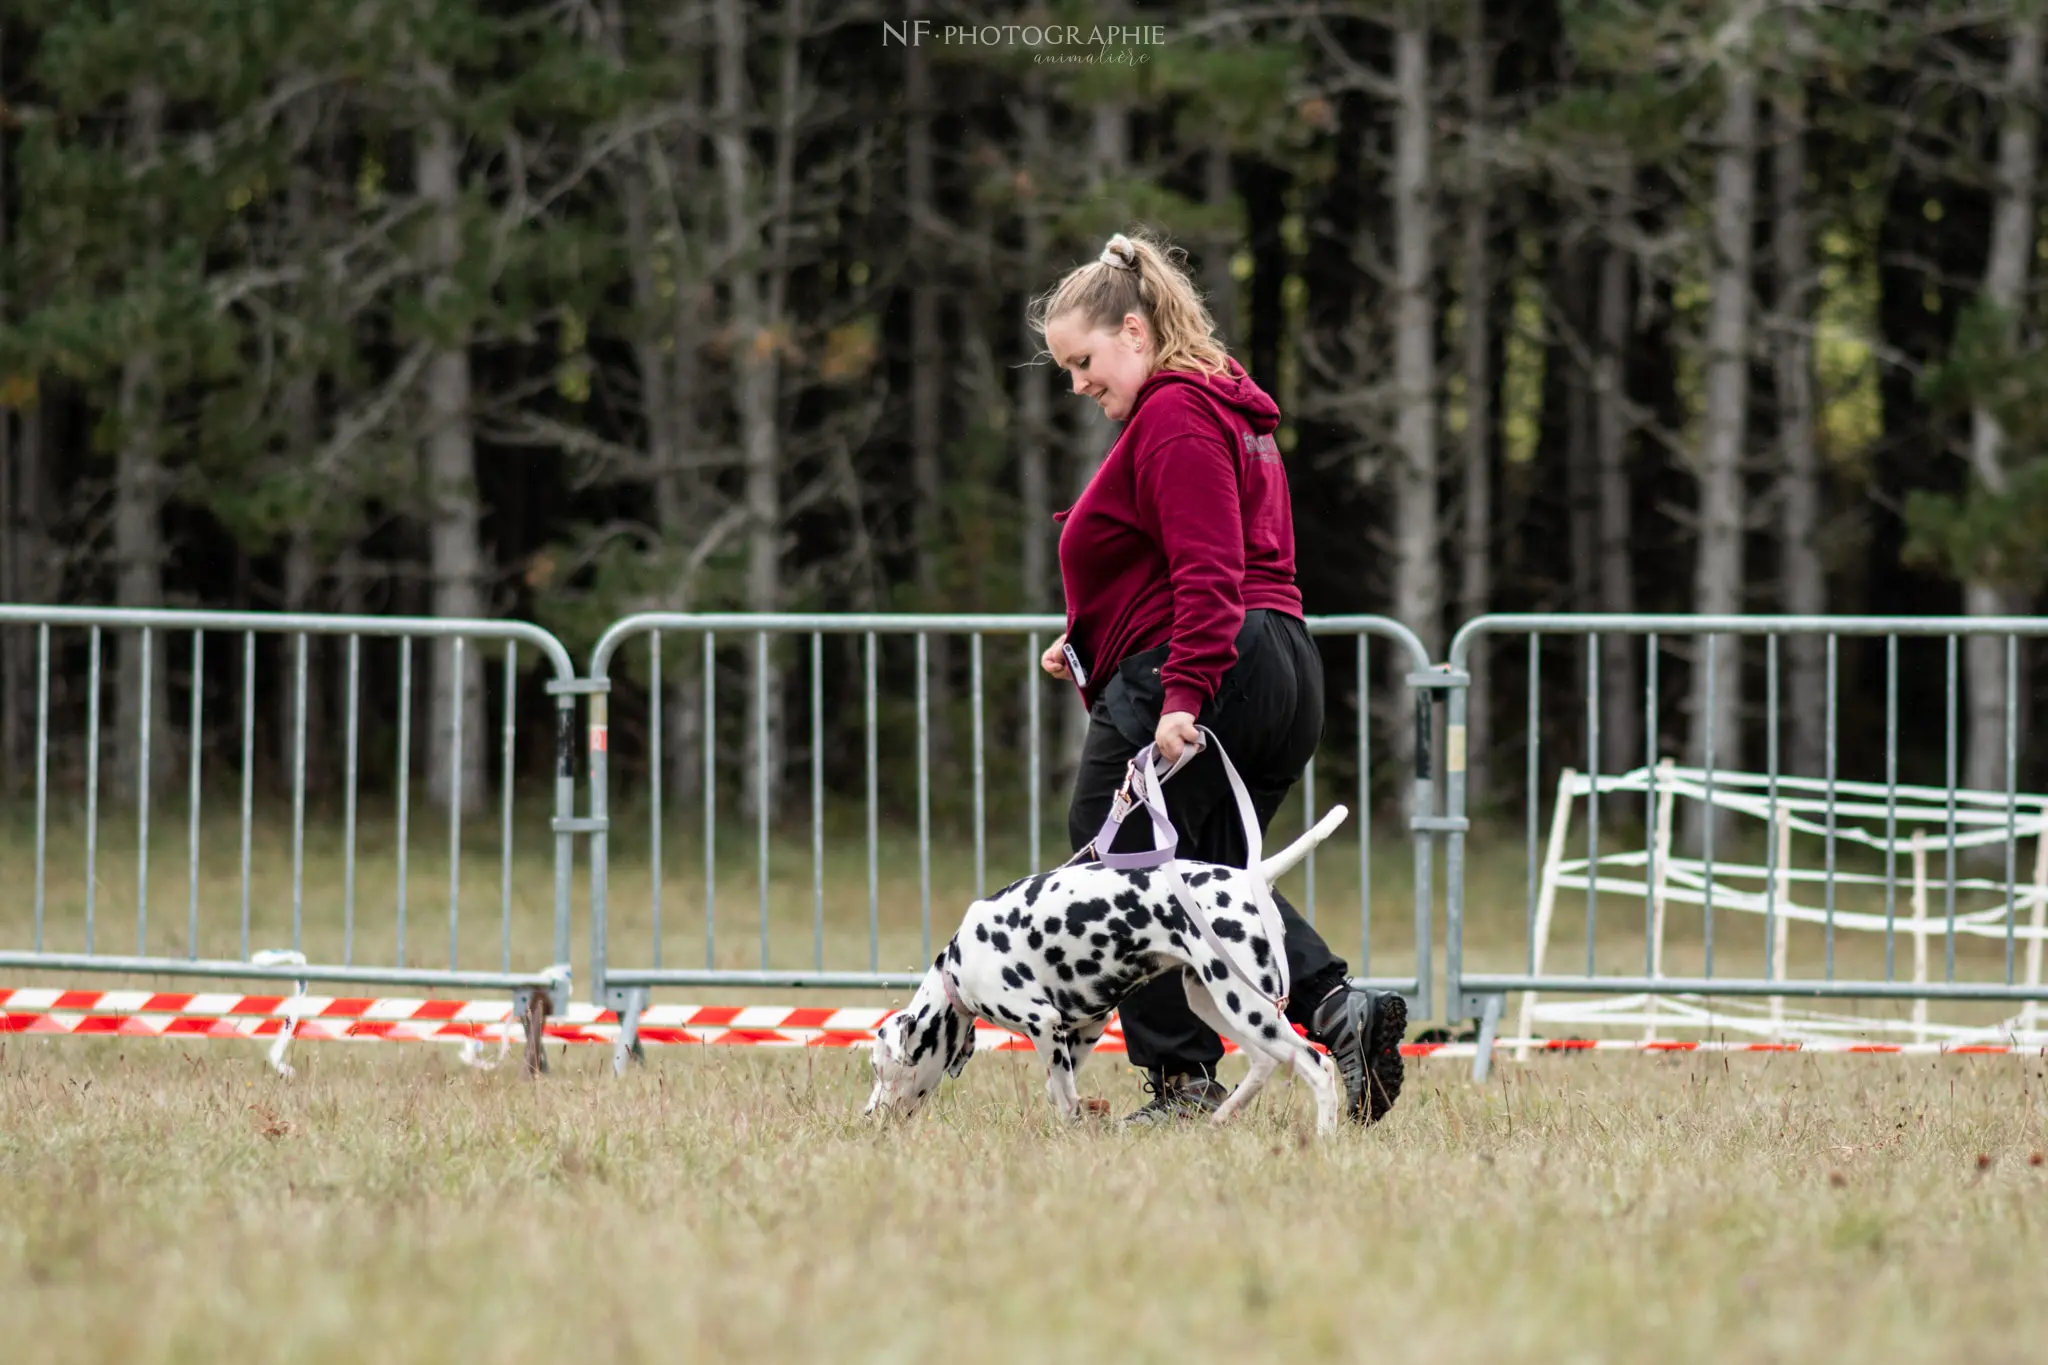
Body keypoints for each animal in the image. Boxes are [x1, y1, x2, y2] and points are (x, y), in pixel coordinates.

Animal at [860, 806, 1351, 1137]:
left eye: (880, 1067)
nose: (866, 1117)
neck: (961, 963)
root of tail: (1250, 878)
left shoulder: (1044, 1023)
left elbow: (1061, 1095)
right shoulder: (1087, 1026)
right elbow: (1060, 1090)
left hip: (1247, 1007)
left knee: (1317, 1064)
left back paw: (1323, 1138)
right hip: (1216, 1002)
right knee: (1265, 1062)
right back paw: (1222, 1117)